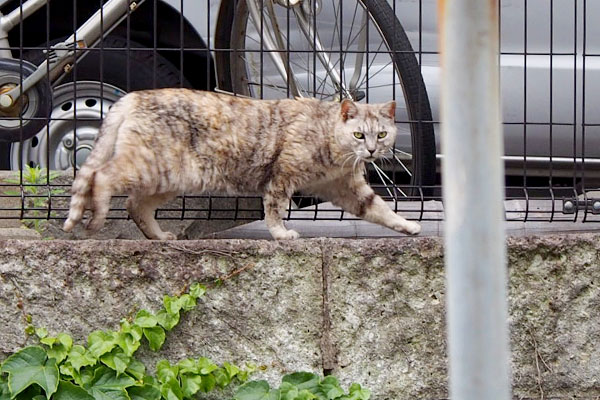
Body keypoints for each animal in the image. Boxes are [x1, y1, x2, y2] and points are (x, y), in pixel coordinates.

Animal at [62, 89, 422, 239]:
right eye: (359, 134)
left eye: (382, 134)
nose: (372, 151)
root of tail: (133, 96)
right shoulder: (282, 177)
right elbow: (274, 209)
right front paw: (281, 235)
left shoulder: (346, 187)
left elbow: (379, 209)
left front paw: (407, 226)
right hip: (148, 166)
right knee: (101, 176)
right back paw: (96, 219)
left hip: (169, 178)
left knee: (136, 205)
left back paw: (160, 237)